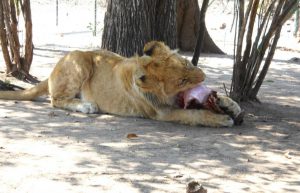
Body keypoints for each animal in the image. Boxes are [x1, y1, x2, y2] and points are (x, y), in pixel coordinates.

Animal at [0, 41, 241, 127]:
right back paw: (86, 106)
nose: (203, 75)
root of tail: (51, 72)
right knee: (56, 99)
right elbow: (194, 114)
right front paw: (221, 119)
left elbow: (222, 100)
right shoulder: (163, 113)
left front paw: (232, 106)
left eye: (187, 63)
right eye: (181, 81)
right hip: (80, 59)